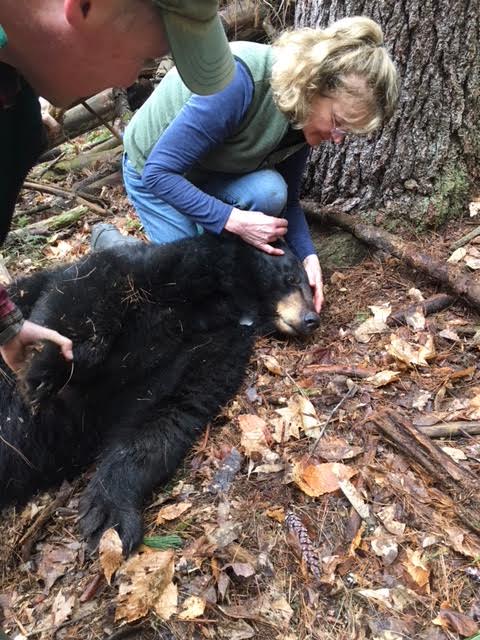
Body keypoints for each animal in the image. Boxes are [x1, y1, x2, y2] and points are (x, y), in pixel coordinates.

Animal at [1, 232, 320, 552]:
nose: (312, 319)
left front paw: (110, 514)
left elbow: (170, 410)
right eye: (292, 276)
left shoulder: (215, 345)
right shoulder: (158, 270)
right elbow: (83, 292)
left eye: (308, 283)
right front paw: (45, 369)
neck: (224, 303)